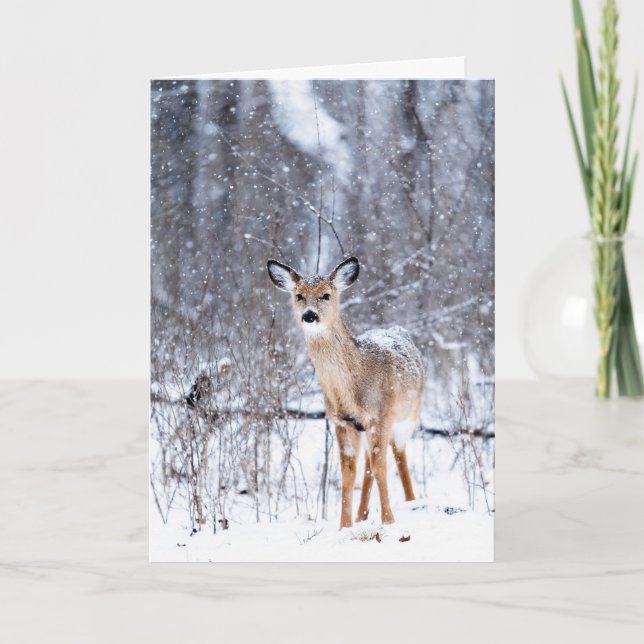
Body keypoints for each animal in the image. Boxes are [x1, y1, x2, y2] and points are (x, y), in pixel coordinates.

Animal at [267, 256, 424, 529]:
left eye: (326, 295)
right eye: (299, 295)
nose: (309, 315)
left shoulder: (381, 415)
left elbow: (381, 466)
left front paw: (389, 521)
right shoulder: (342, 422)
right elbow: (348, 473)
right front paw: (345, 526)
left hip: (408, 415)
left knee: (398, 454)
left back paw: (411, 501)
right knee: (369, 464)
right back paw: (362, 515)